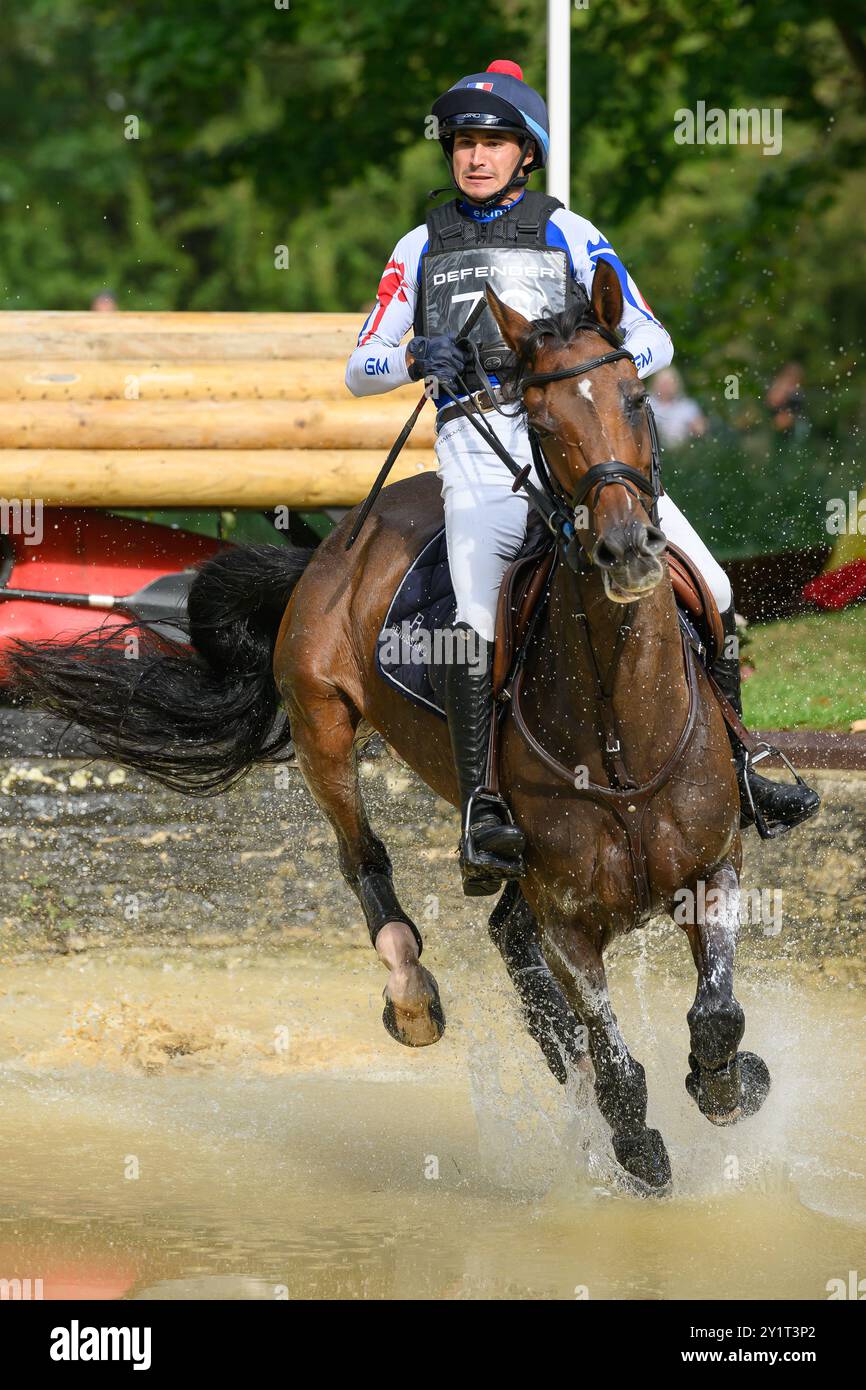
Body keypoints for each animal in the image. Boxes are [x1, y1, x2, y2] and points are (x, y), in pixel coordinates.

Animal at [10, 262, 772, 1195]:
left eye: (635, 395)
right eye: (540, 422)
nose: (627, 549)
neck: (624, 731)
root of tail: (341, 535)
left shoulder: (714, 867)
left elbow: (716, 1013)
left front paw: (731, 1083)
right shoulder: (567, 920)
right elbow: (616, 1055)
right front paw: (638, 1147)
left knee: (507, 937)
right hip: (322, 726)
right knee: (366, 860)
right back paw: (413, 992)